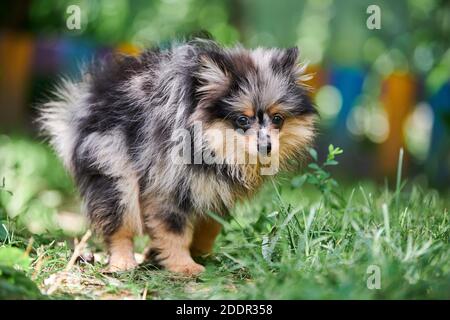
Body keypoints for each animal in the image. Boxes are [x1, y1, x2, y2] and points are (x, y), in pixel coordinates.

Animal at [40, 39, 318, 276]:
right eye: (242, 120)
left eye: (278, 119)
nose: (266, 146)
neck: (208, 144)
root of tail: (86, 104)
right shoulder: (168, 185)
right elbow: (174, 230)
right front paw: (184, 266)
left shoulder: (213, 189)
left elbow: (210, 226)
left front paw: (202, 254)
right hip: (114, 171)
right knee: (120, 222)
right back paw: (123, 262)